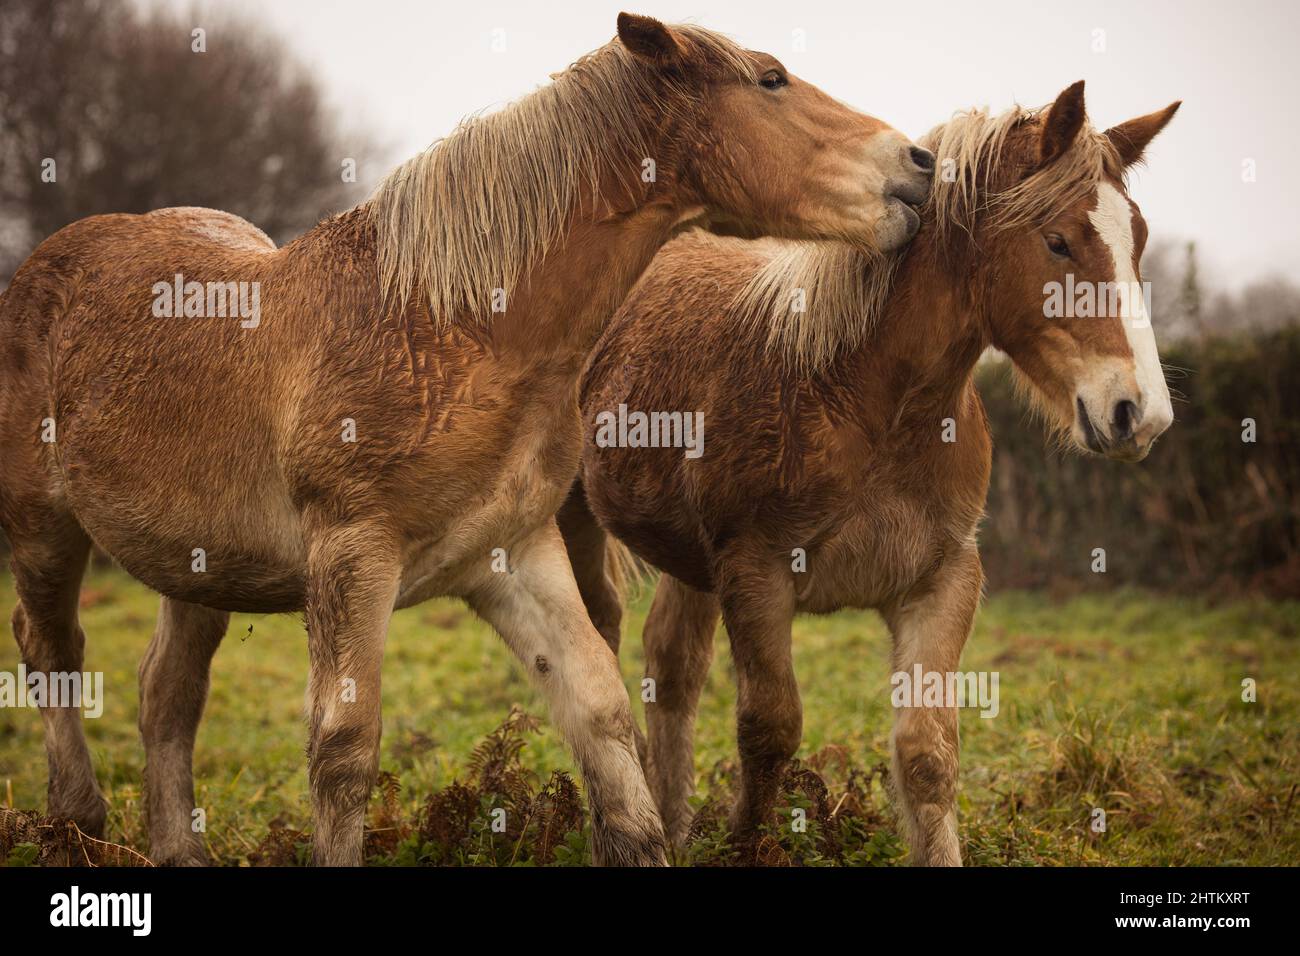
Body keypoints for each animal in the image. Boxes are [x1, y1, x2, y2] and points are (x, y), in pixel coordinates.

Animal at [0, 12, 934, 866]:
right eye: (771, 79)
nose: (918, 164)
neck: (450, 327)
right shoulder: (353, 556)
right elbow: (343, 748)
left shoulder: (516, 554)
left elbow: (599, 711)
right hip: (45, 535)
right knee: (53, 651)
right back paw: (76, 821)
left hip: (195, 568)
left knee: (167, 695)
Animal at [561, 80, 1180, 864]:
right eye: (1058, 241)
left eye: (1139, 240)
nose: (1141, 414)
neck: (866, 398)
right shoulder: (756, 575)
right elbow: (770, 731)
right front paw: (744, 843)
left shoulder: (941, 583)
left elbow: (927, 753)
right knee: (601, 642)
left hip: (689, 562)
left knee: (672, 669)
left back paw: (671, 822)